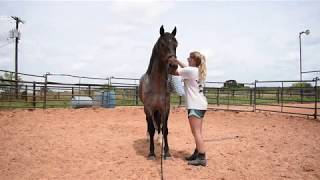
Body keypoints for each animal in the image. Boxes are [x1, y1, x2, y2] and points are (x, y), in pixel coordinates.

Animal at [138, 25, 178, 159]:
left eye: (176, 44)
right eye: (162, 44)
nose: (173, 65)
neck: (156, 86)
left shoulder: (165, 109)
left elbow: (165, 129)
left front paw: (167, 152)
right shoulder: (149, 108)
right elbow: (151, 129)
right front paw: (151, 153)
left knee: (159, 124)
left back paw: (159, 140)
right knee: (149, 124)